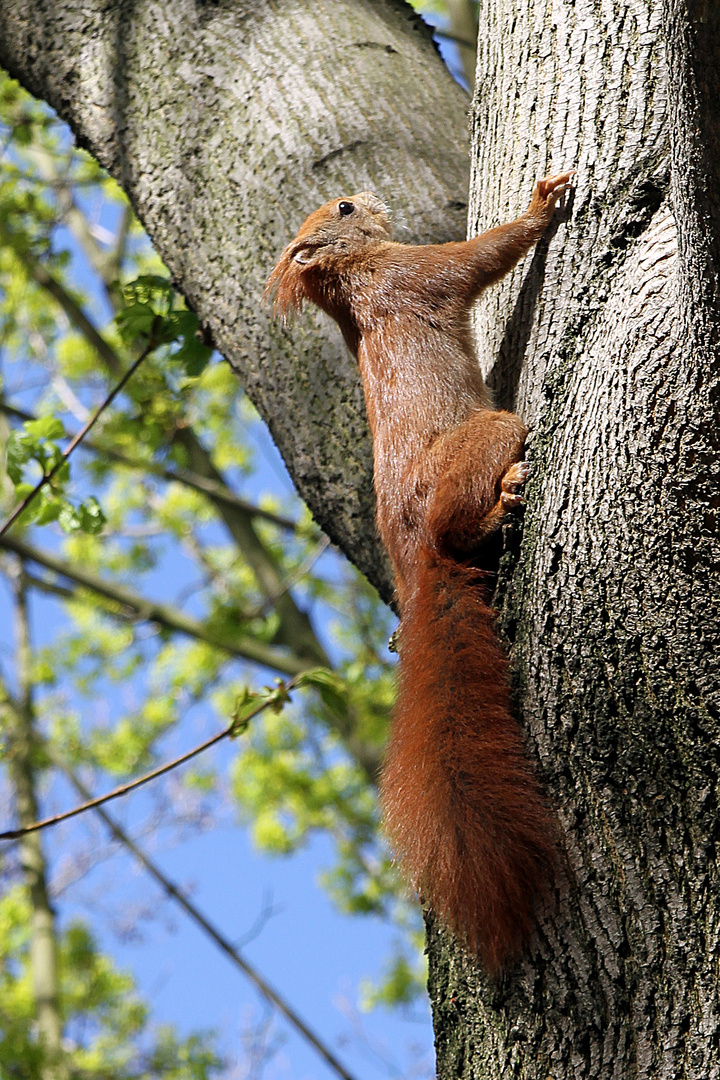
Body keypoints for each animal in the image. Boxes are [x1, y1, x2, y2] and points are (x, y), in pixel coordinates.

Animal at [264, 172, 574, 976]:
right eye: (343, 211)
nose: (360, 194)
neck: (354, 283)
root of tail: (417, 565)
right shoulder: (418, 275)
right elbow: (483, 257)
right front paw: (542, 205)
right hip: (488, 435)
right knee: (461, 518)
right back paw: (501, 503)